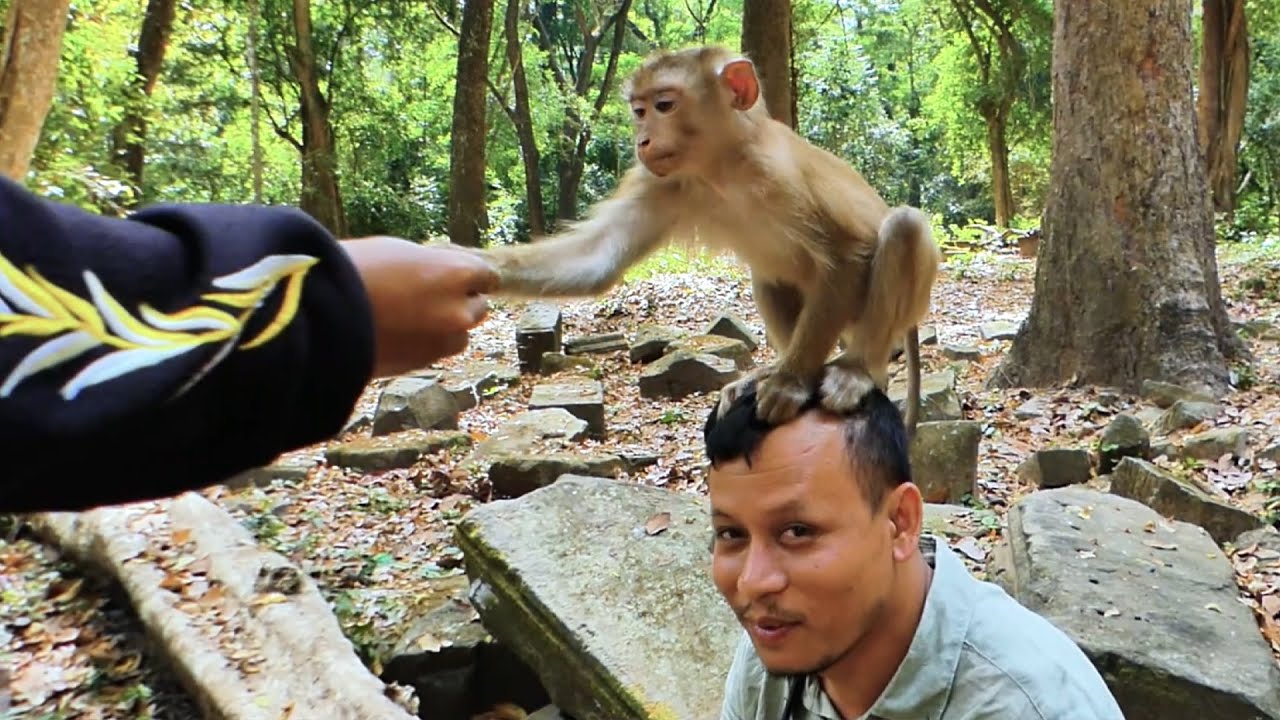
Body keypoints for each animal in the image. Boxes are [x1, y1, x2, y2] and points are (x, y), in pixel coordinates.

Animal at [472, 45, 941, 432]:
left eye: (664, 105)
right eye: (639, 110)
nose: (642, 141)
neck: (725, 167)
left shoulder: (779, 174)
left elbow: (846, 252)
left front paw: (790, 383)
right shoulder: (662, 183)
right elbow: (597, 259)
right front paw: (472, 265)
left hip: (884, 314)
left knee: (902, 227)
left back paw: (854, 371)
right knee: (770, 274)